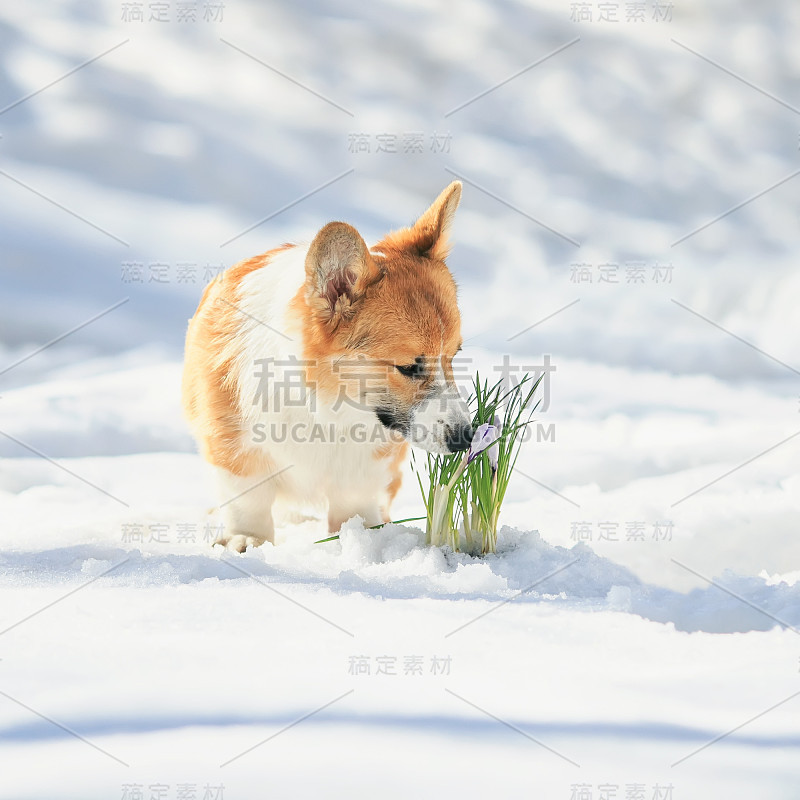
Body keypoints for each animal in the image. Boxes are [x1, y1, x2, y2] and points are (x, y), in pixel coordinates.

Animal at [182, 181, 472, 552]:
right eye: (409, 367)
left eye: (455, 355)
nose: (466, 439)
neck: (324, 404)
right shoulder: (234, 447)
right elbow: (249, 501)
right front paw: (247, 539)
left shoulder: (365, 469)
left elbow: (353, 508)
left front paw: (360, 538)